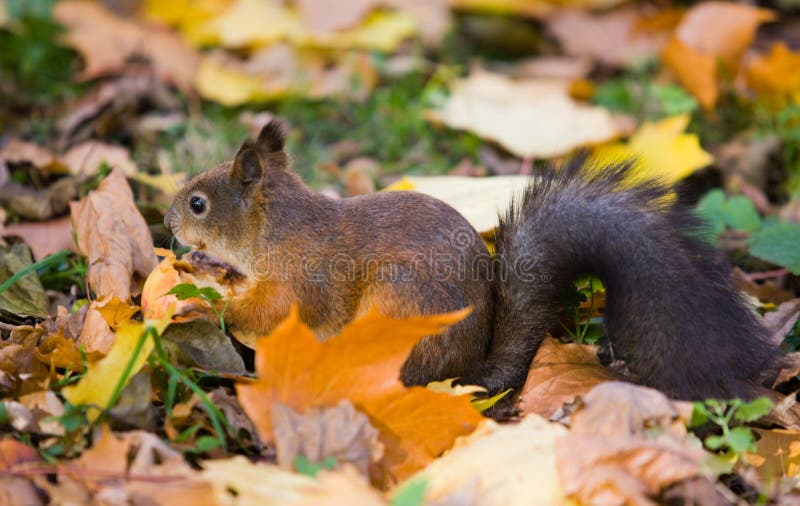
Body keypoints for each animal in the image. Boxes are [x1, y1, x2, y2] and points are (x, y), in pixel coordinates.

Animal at [164, 119, 779, 402]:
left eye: (198, 203)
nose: (167, 225)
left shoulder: (305, 279)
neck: (278, 228)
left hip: (397, 312)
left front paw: (207, 302)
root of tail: (464, 375)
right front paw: (204, 270)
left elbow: (268, 314)